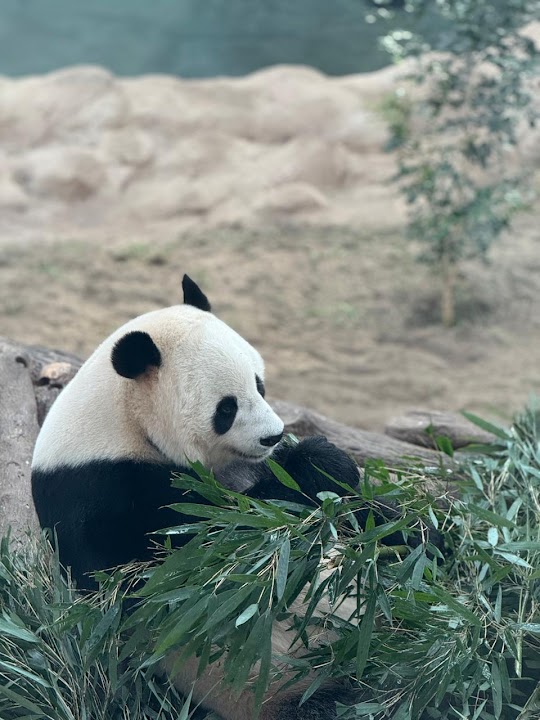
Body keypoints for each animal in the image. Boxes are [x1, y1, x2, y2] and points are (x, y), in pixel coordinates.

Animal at [30, 275, 387, 719]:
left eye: (259, 383)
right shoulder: (103, 496)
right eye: (226, 409)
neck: (124, 422)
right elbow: (206, 557)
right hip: (276, 685)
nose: (273, 435)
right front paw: (317, 464)